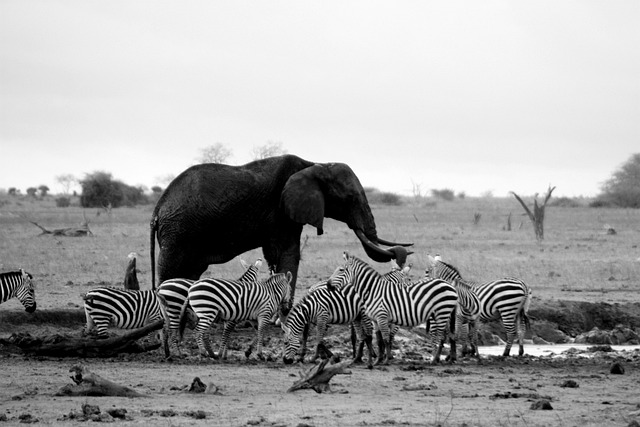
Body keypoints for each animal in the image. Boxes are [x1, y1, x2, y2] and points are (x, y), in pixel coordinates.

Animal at [149, 155, 410, 306]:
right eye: (351, 199)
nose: (403, 252)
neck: (314, 164)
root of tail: (157, 208)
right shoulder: (281, 211)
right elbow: (286, 253)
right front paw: (284, 312)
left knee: (189, 271)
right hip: (178, 232)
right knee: (172, 269)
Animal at [328, 252, 458, 366]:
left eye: (341, 270)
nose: (328, 285)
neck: (372, 291)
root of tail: (450, 285)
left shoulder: (382, 316)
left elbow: (386, 339)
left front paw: (385, 361)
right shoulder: (375, 320)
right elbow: (379, 340)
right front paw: (377, 361)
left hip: (442, 312)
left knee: (439, 336)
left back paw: (434, 360)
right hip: (439, 314)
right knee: (442, 335)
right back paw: (438, 359)